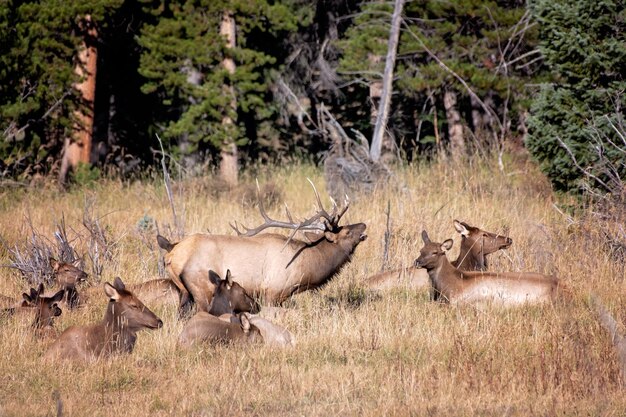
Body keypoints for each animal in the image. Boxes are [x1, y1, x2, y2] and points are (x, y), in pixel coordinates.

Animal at [158, 180, 368, 314]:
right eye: (346, 232)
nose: (364, 225)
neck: (305, 267)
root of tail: (171, 256)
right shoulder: (272, 292)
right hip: (202, 288)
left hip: (183, 292)